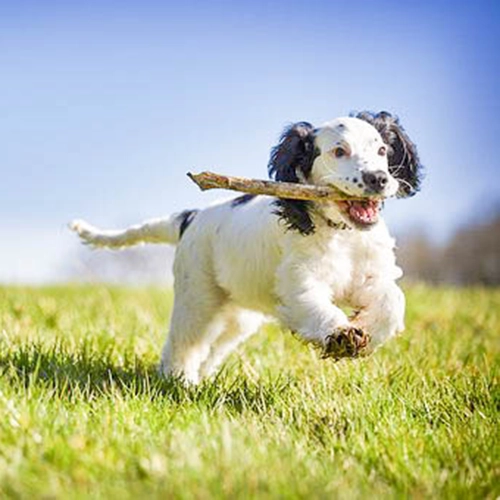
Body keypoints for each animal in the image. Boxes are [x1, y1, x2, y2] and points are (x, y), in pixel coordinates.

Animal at [70, 110, 422, 382]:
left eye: (381, 150)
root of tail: (191, 217)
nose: (379, 179)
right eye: (339, 152)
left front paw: (366, 333)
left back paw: (200, 379)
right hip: (197, 297)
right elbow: (315, 305)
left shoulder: (373, 274)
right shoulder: (299, 282)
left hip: (238, 315)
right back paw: (179, 380)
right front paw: (340, 335)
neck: (341, 234)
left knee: (213, 347)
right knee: (184, 342)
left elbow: (393, 301)